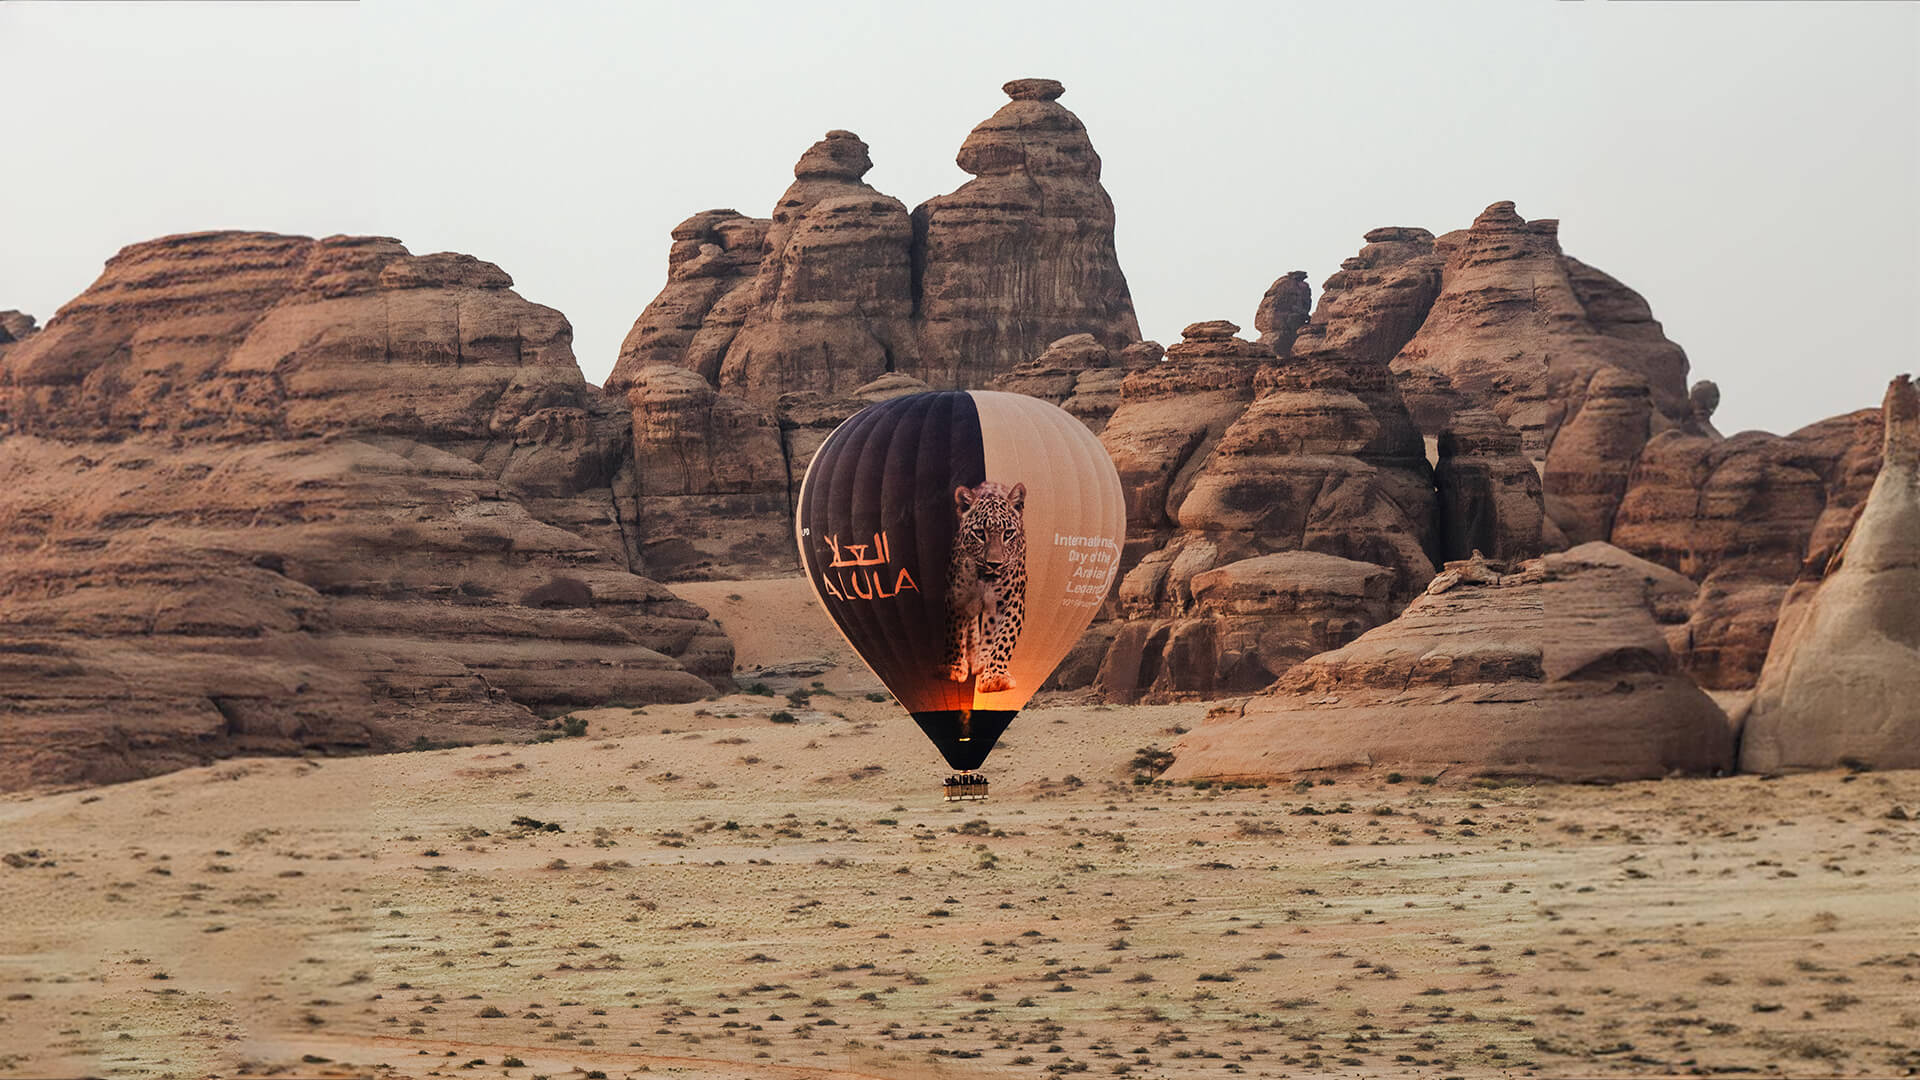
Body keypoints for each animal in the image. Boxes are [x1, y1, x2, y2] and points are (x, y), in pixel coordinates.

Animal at [942, 480, 1028, 694]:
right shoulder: (956, 598)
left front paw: (995, 676)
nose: (994, 564)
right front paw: (954, 668)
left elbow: (1005, 637)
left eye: (1008, 534)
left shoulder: (1013, 601)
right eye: (980, 533)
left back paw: (982, 661)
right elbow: (955, 632)